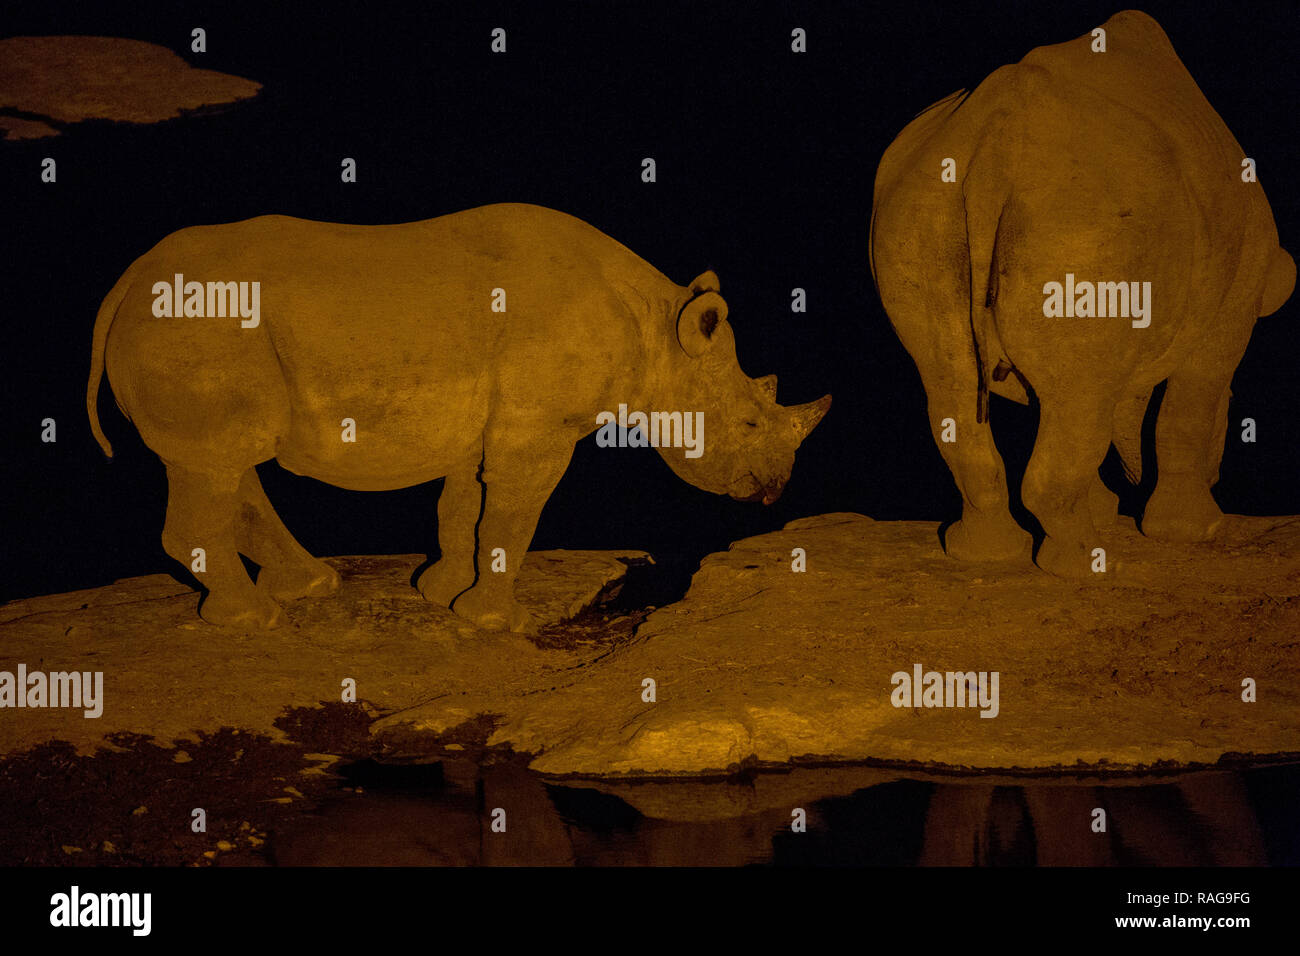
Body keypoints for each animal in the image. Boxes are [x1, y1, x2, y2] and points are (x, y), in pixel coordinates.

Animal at [86, 204, 826, 629]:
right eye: (751, 424)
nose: (775, 491)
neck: (658, 331)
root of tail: (125, 284)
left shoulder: (488, 423)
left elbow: (464, 507)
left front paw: (440, 594)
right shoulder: (538, 429)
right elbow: (513, 513)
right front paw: (497, 624)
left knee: (223, 461)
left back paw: (308, 588)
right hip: (198, 328)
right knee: (215, 460)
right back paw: (253, 619)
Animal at [868, 9, 1294, 574]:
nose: (1218, 474)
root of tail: (997, 135)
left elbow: (1085, 400)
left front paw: (1105, 511)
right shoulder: (1233, 301)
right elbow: (1190, 403)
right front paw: (1195, 532)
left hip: (920, 206)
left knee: (952, 378)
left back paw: (983, 555)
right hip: (1083, 220)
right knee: (1074, 399)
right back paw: (1087, 563)